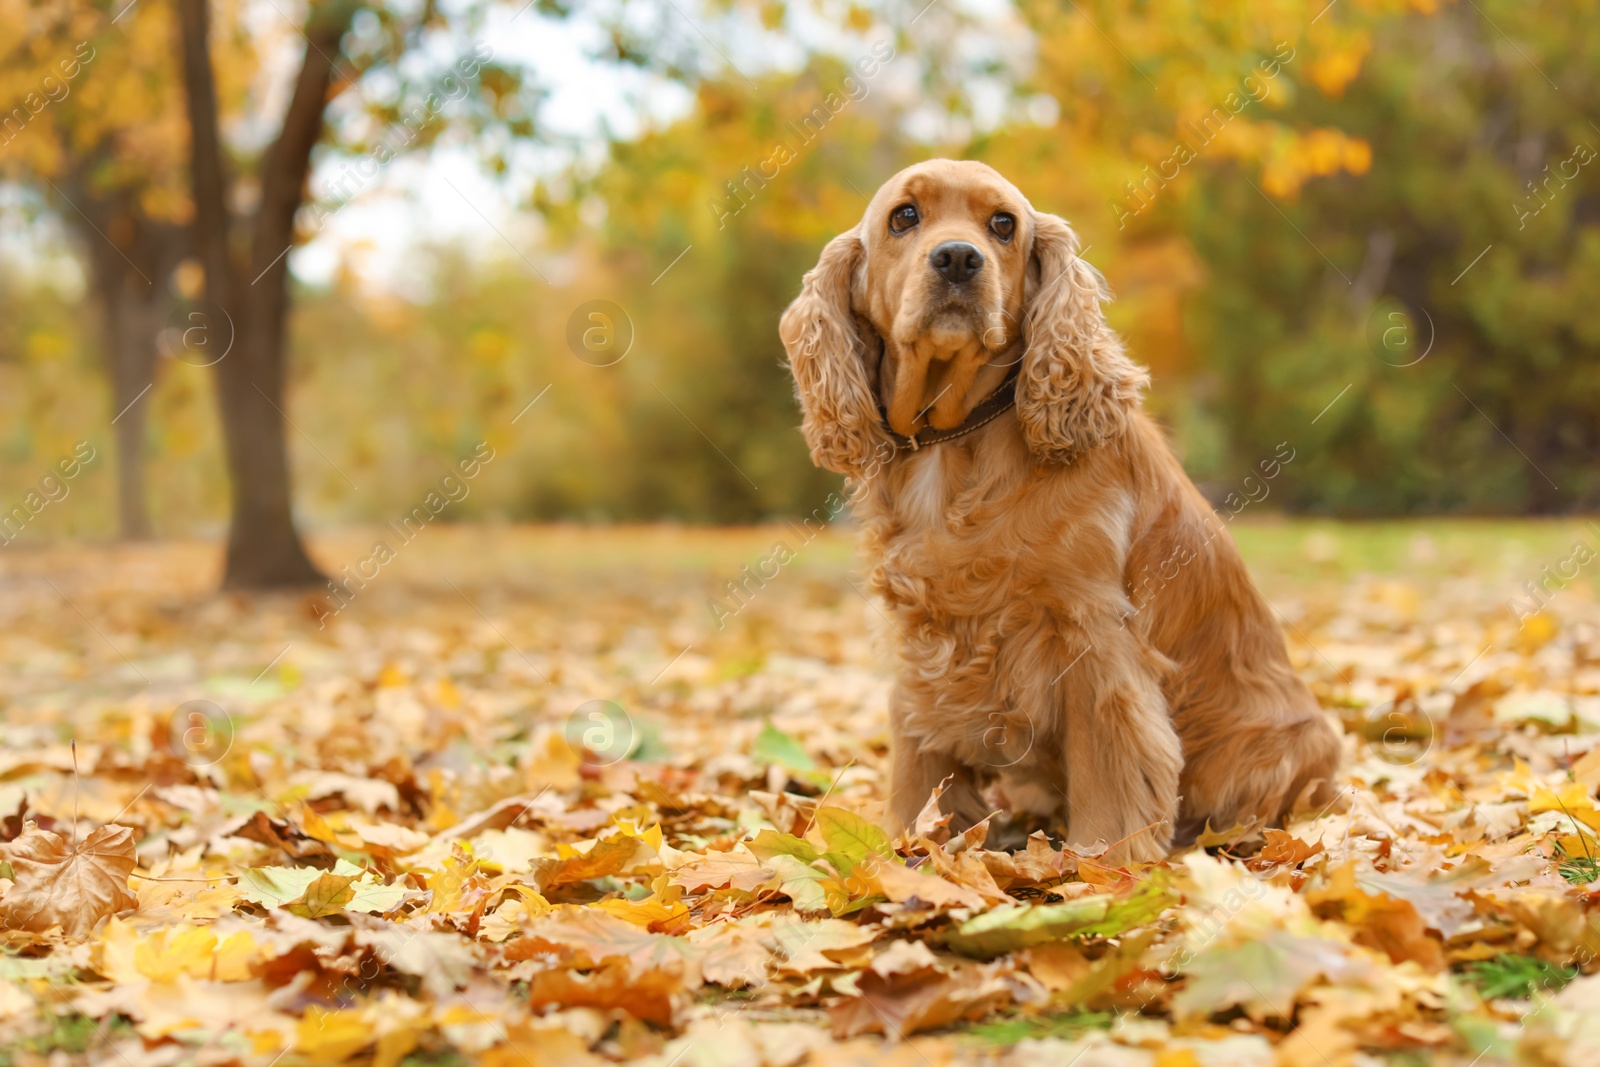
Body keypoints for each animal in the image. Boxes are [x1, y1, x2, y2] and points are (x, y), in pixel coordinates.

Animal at [774, 158, 1337, 863]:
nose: (958, 258)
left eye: (1002, 224)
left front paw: (1104, 861)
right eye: (904, 216)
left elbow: (1109, 761)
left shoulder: (1090, 633)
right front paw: (903, 844)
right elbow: (917, 755)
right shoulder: (922, 641)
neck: (952, 443)